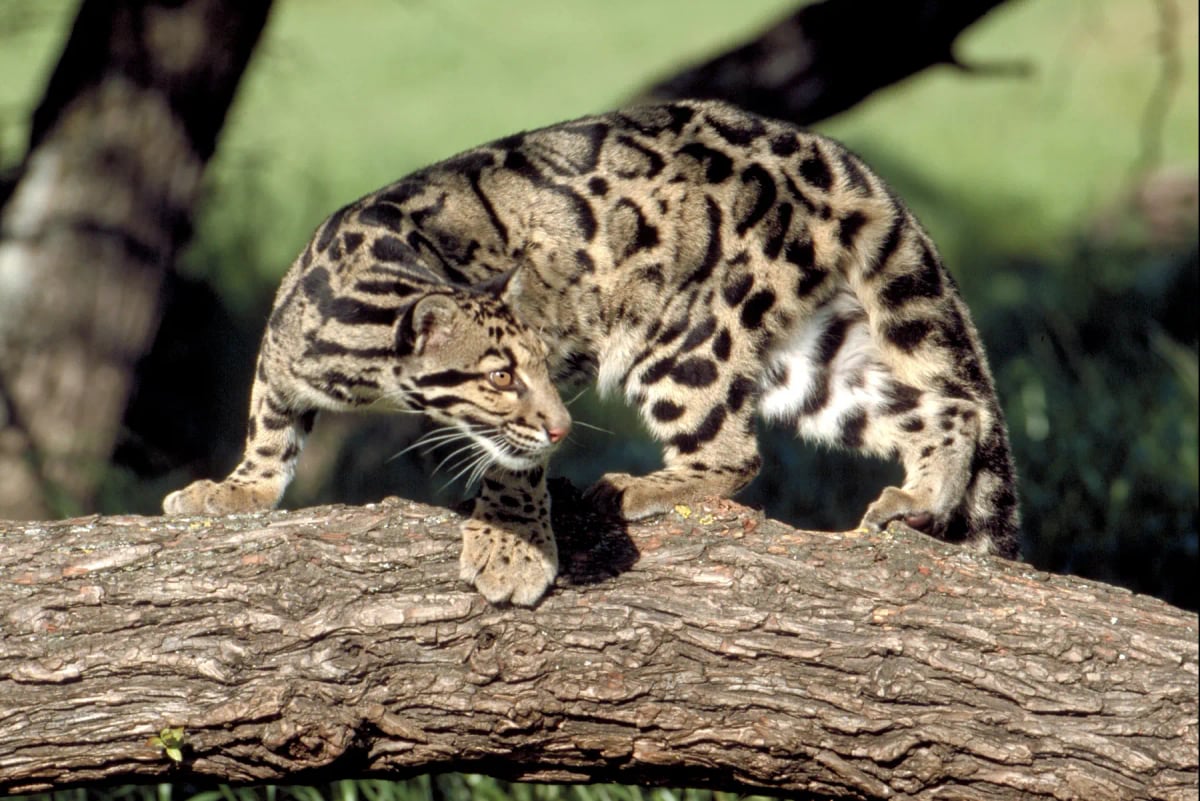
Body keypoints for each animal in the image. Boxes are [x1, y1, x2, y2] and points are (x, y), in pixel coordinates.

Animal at [164, 99, 1020, 606]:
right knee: (945, 407)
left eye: (542, 368)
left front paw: (509, 550)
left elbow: (513, 470)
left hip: (683, 338)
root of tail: (824, 155)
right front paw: (233, 492)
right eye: (500, 375)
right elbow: (267, 431)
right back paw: (918, 497)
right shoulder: (278, 361)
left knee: (735, 453)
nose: (560, 426)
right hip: (805, 356)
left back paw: (630, 487)